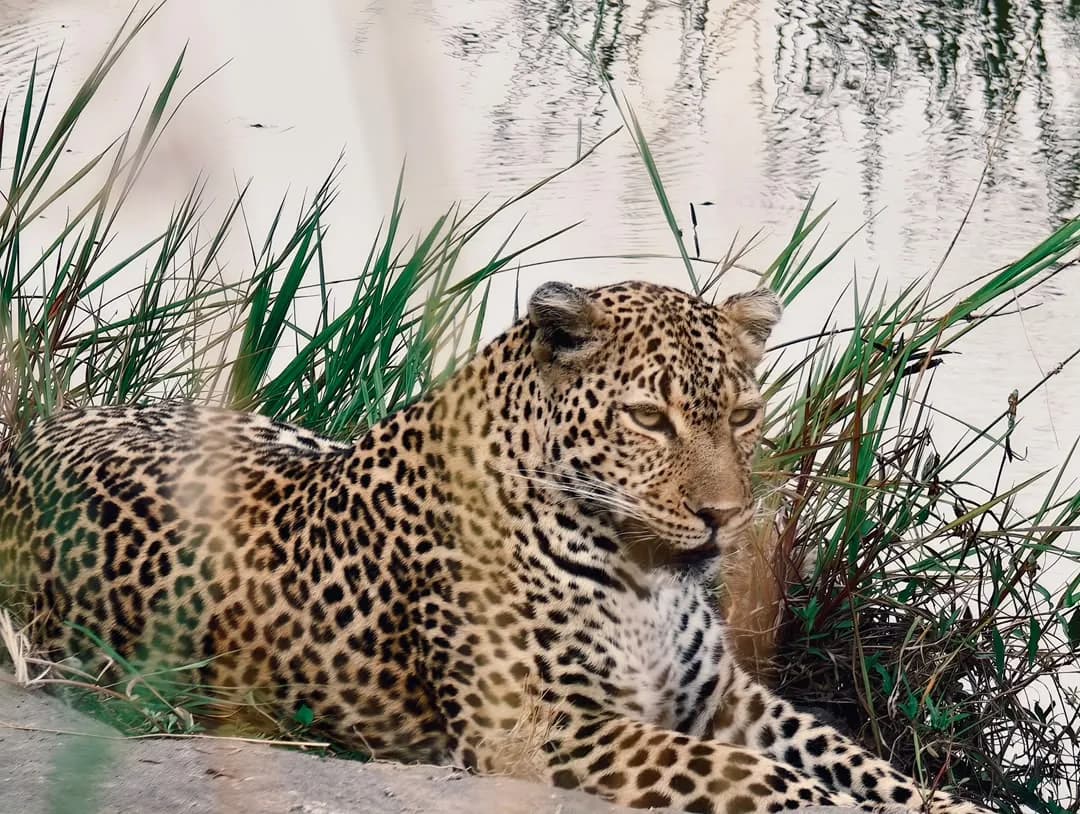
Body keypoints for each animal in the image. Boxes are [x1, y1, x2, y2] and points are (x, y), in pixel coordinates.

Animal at [0, 280, 992, 814]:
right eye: (648, 418)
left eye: (742, 415)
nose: (724, 516)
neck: (646, 576)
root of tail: (41, 429)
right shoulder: (537, 729)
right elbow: (760, 777)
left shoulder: (725, 699)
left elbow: (854, 758)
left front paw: (951, 803)